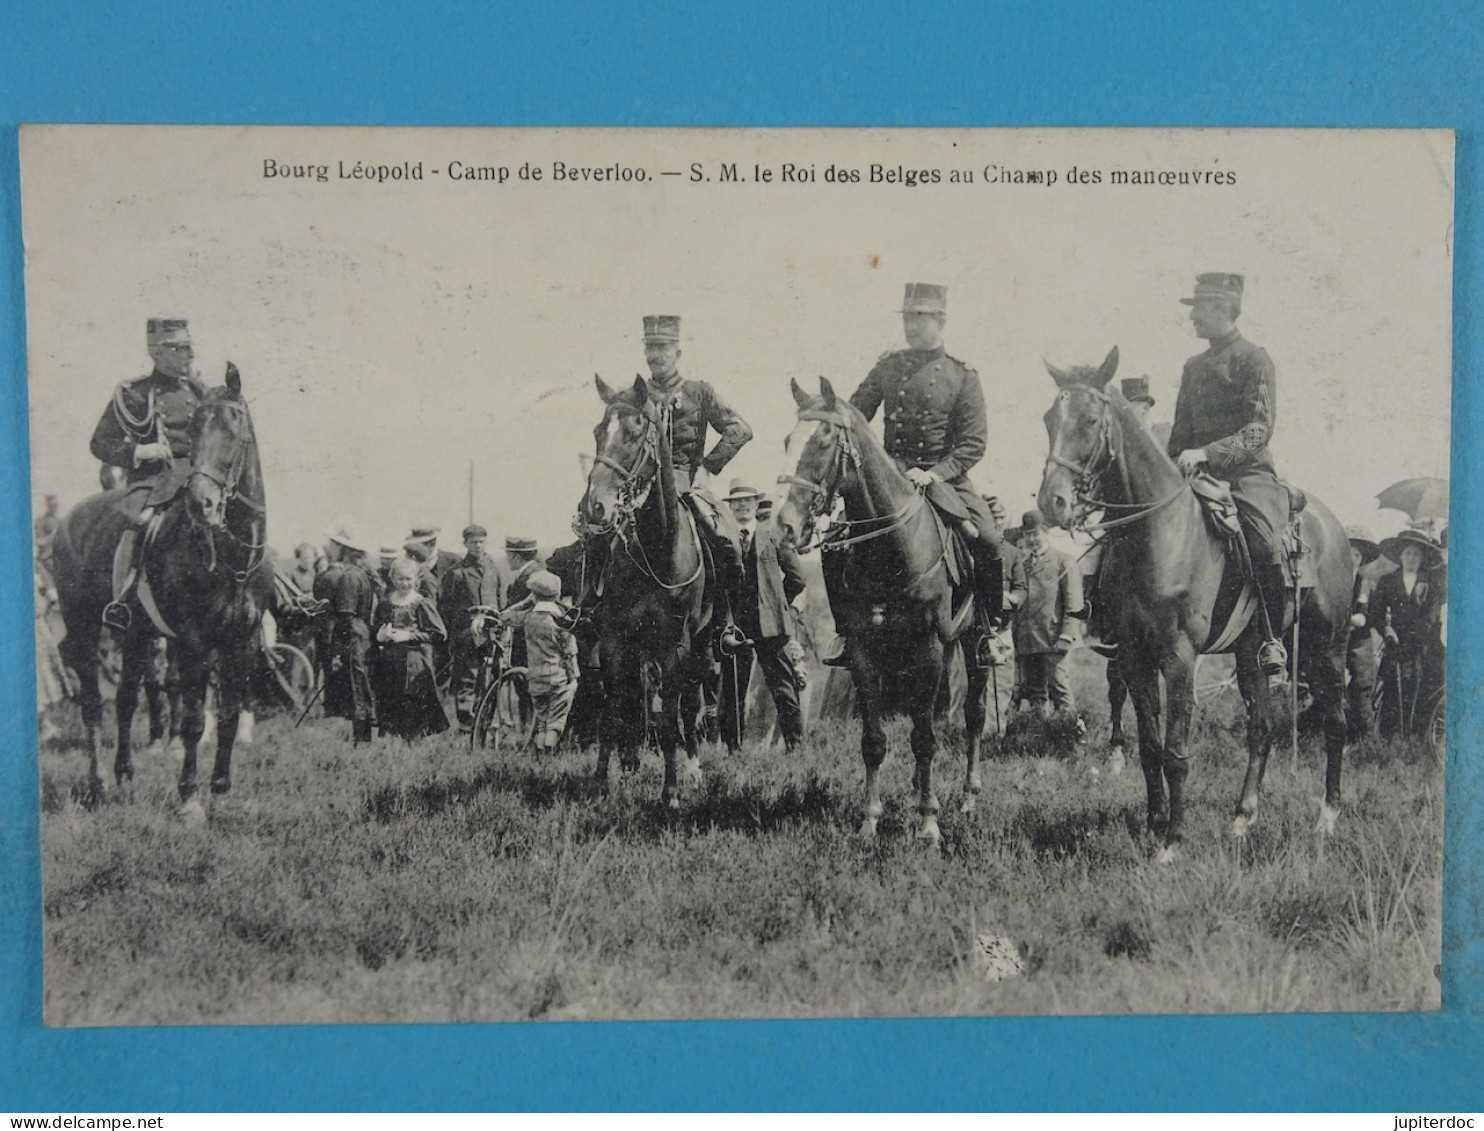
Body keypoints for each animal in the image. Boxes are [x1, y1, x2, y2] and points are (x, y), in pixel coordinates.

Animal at [53, 363, 268, 813]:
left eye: (233, 426)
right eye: (196, 427)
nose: (202, 503)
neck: (232, 558)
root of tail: (68, 520)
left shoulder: (241, 640)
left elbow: (228, 715)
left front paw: (221, 789)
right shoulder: (194, 642)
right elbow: (193, 720)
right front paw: (189, 796)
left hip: (135, 633)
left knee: (125, 698)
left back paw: (124, 773)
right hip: (83, 627)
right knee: (93, 703)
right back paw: (98, 784)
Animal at [578, 374, 718, 807]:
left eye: (635, 433)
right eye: (597, 431)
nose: (594, 507)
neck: (657, 550)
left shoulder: (675, 646)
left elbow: (671, 719)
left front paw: (670, 791)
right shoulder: (614, 639)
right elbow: (612, 712)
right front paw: (600, 786)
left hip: (700, 646)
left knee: (690, 704)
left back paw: (692, 770)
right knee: (637, 696)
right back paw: (630, 761)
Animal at [771, 377, 991, 837]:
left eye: (824, 439)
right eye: (786, 439)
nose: (783, 527)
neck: (892, 549)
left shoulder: (928, 650)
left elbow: (925, 738)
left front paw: (928, 822)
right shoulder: (864, 652)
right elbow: (874, 741)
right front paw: (870, 820)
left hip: (972, 642)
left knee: (974, 716)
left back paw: (967, 796)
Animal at [1038, 348, 1353, 848]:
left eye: (1089, 420)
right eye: (1050, 419)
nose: (1052, 503)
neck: (1160, 536)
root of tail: (1334, 526)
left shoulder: (1180, 658)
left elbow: (1176, 751)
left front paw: (1173, 840)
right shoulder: (1134, 657)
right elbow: (1150, 746)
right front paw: (1153, 823)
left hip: (1328, 646)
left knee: (1336, 723)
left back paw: (1327, 817)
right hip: (1251, 651)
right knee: (1262, 728)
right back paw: (1243, 816)